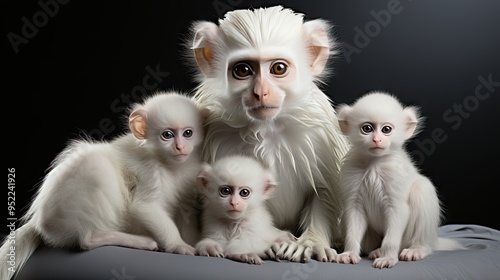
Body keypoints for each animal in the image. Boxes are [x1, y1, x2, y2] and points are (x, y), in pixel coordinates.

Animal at [0, 91, 203, 278]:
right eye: (167, 135)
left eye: (188, 133)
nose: (180, 147)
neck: (171, 166)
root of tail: (40, 221)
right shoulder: (150, 171)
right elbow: (145, 207)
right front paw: (178, 245)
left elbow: (187, 212)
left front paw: (194, 242)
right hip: (75, 203)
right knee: (86, 239)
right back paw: (134, 240)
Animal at [186, 4, 350, 262]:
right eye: (243, 70)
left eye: (278, 68)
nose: (260, 92)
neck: (266, 129)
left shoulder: (320, 136)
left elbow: (325, 191)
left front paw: (311, 242)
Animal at [334, 91, 462, 268]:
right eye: (367, 128)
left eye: (386, 129)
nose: (377, 140)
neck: (374, 164)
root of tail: (433, 240)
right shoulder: (352, 179)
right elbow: (354, 214)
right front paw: (349, 253)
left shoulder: (396, 180)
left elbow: (398, 212)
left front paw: (388, 257)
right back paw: (377, 250)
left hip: (416, 233)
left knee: (421, 189)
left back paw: (417, 249)